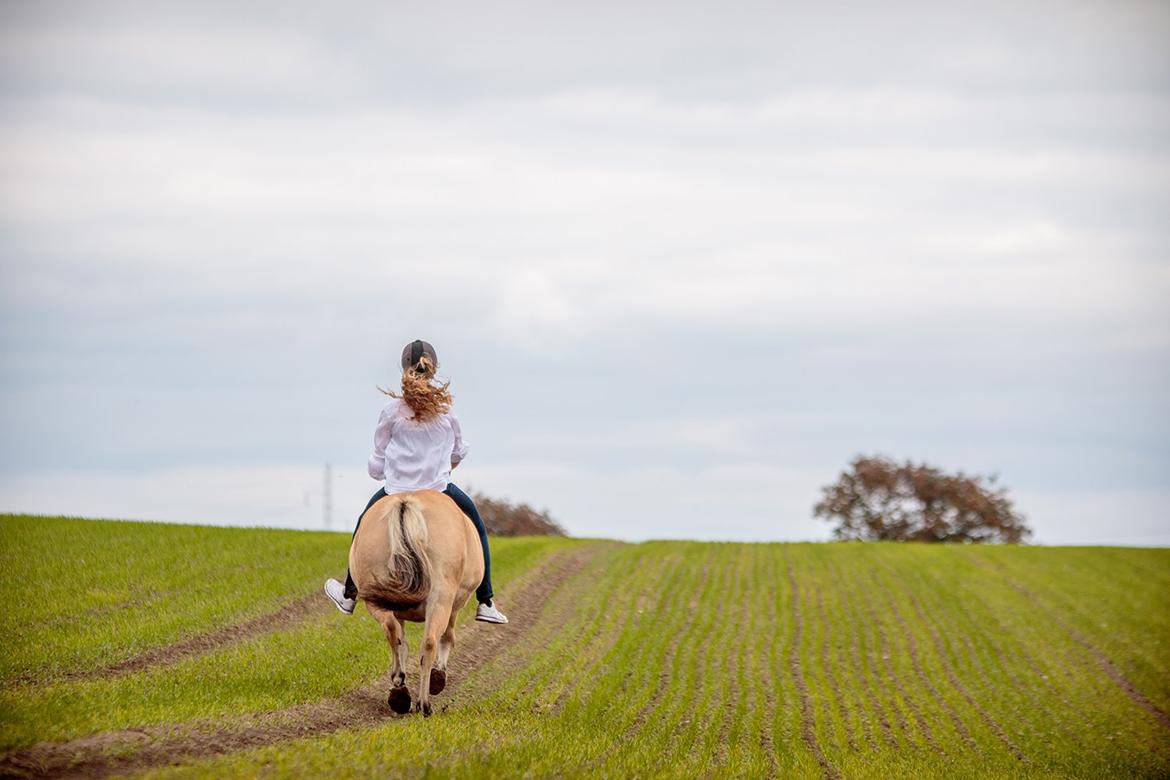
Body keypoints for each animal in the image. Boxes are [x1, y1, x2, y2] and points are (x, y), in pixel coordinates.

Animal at [351, 491, 489, 715]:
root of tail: (406, 502)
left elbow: (403, 642)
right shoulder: (454, 605)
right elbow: (448, 637)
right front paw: (438, 677)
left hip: (377, 594)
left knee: (392, 632)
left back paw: (399, 691)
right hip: (440, 599)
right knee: (430, 642)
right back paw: (424, 704)